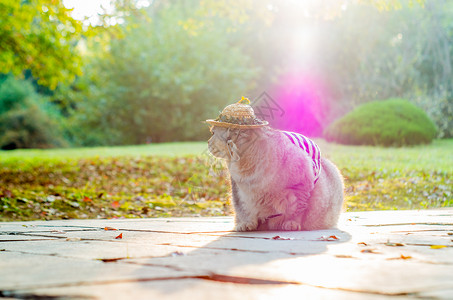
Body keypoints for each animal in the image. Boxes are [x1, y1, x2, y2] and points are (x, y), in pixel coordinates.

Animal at [207, 125, 342, 231]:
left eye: (213, 133)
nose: (208, 142)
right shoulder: (238, 191)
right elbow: (243, 209)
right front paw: (245, 224)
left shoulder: (302, 186)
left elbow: (297, 210)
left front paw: (292, 223)